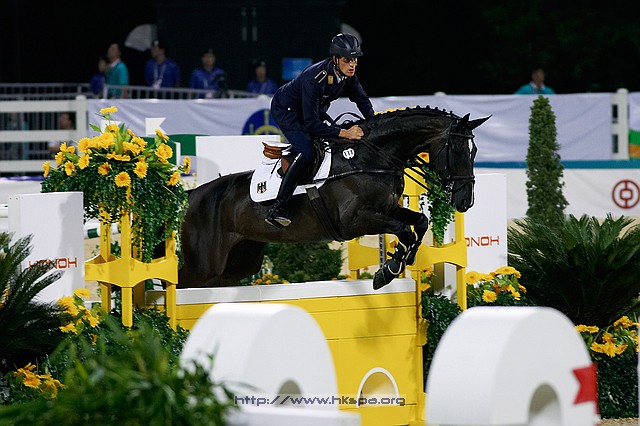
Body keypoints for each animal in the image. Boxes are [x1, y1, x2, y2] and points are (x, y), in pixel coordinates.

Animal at [178, 106, 489, 289]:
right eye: (458, 150)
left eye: (474, 152)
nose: (465, 201)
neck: (370, 158)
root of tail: (192, 195)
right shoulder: (355, 221)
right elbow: (404, 229)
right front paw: (389, 269)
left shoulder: (388, 209)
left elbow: (420, 222)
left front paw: (398, 261)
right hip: (204, 266)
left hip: (238, 264)